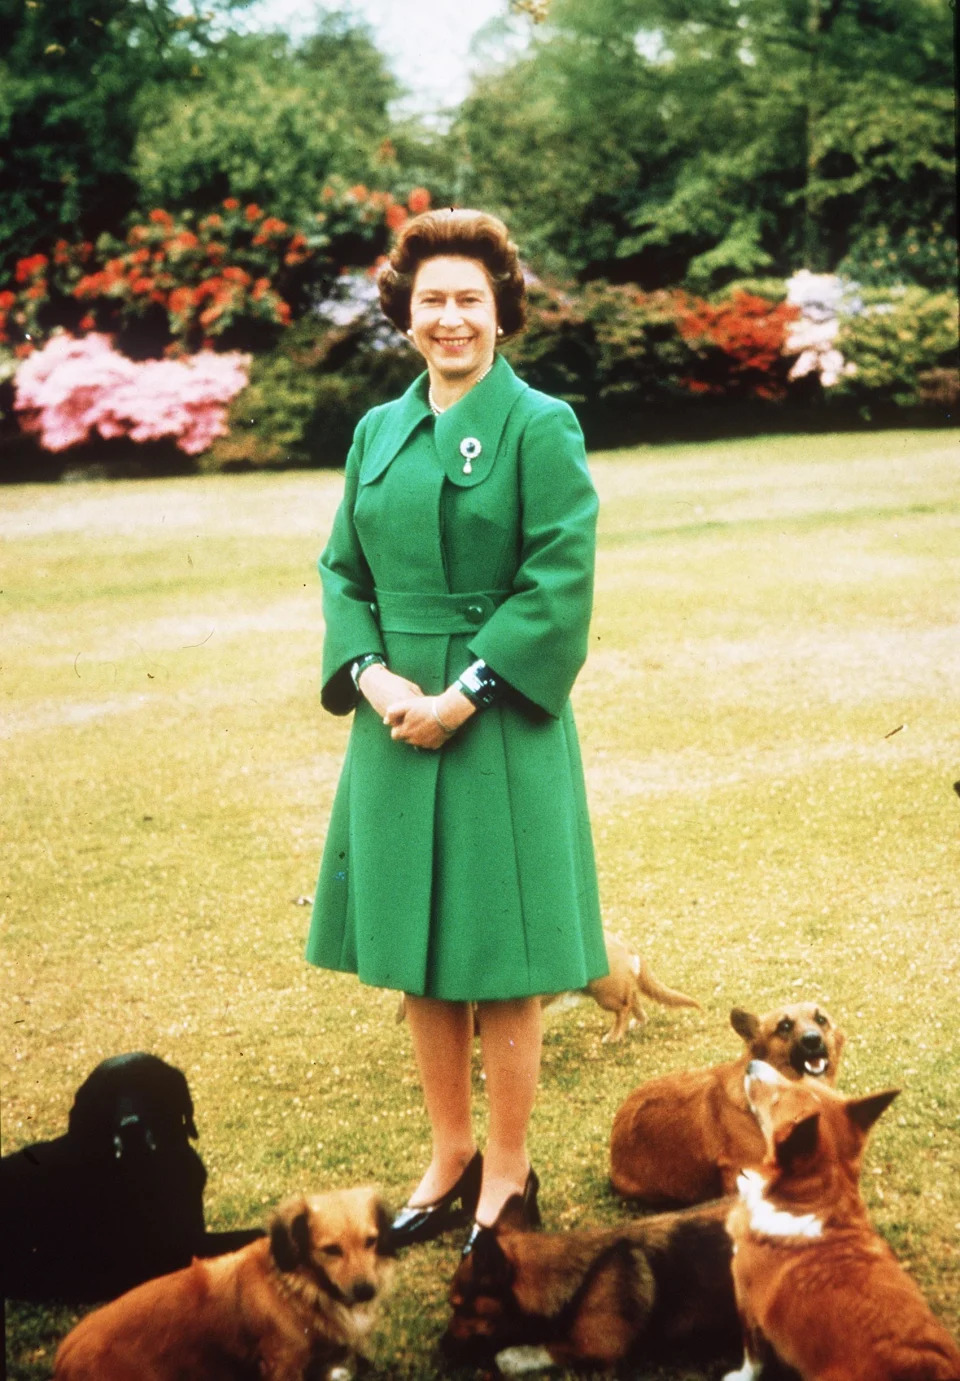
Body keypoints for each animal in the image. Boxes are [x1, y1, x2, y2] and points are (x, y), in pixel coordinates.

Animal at [54, 1187, 395, 1381]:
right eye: (331, 1250)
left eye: (371, 1241)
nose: (366, 1290)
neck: (296, 1287)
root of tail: (63, 1357)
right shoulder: (283, 1365)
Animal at [723, 1060, 955, 1375]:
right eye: (801, 1080)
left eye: (776, 1100)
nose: (752, 1064)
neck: (815, 1200)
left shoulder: (746, 1305)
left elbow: (752, 1358)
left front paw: (738, 1375)